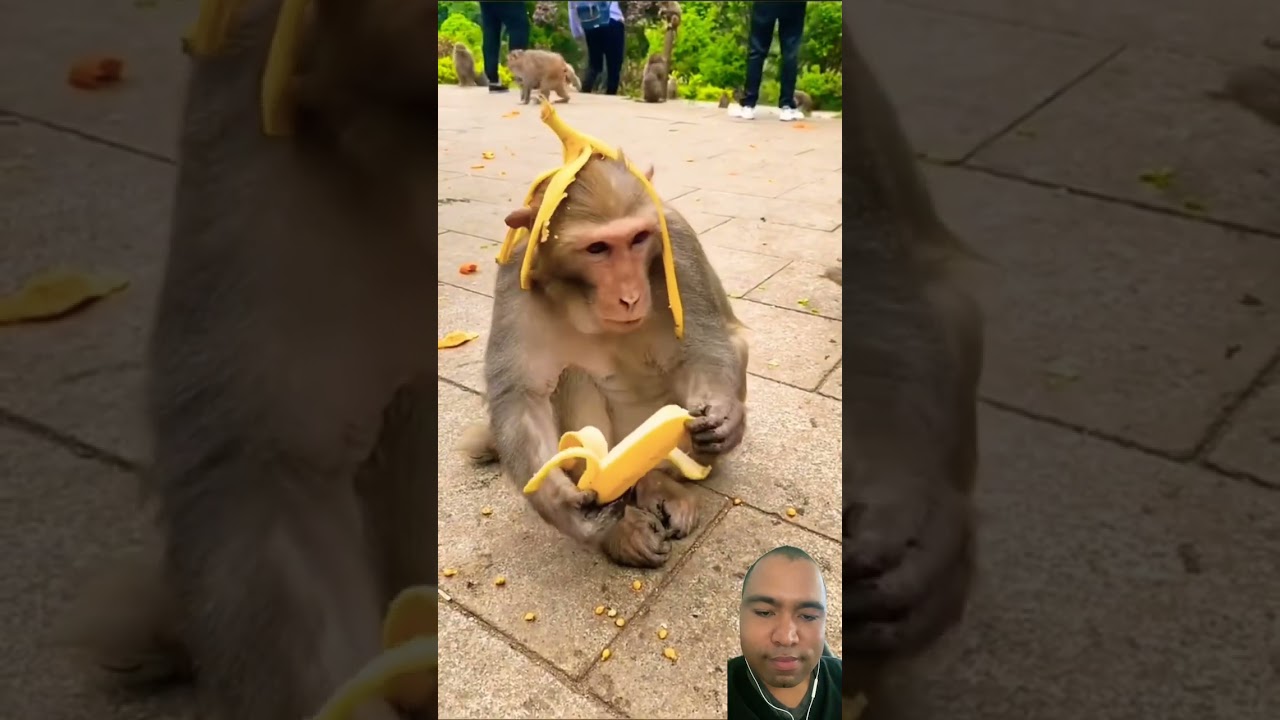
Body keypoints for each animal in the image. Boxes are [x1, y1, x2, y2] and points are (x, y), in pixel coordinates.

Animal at [459, 157, 750, 570]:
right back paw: (625, 526)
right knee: (570, 375)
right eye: (597, 248)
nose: (630, 296)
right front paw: (562, 506)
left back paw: (663, 485)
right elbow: (523, 394)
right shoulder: (516, 269)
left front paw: (726, 418)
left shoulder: (678, 240)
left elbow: (706, 344)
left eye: (639, 238)